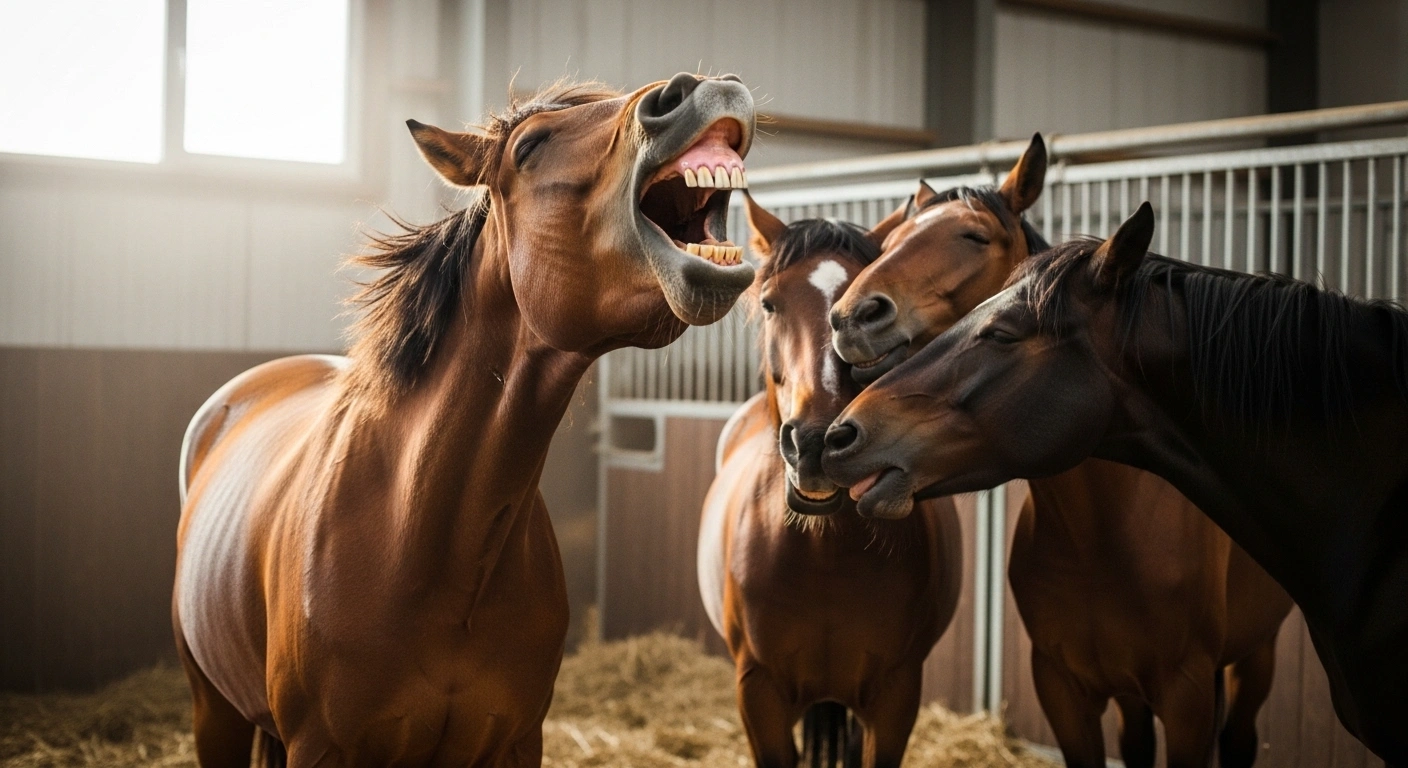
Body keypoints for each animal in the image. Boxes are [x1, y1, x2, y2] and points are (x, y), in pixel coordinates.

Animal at [173, 74, 757, 767]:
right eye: (529, 147)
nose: (700, 88)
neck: (425, 541)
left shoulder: (515, 741)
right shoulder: (320, 747)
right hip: (214, 712)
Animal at [822, 203, 1408, 765]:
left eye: (1004, 332)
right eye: (891, 240)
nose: (841, 434)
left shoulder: (1188, 696)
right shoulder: (1063, 688)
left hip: (1254, 654)